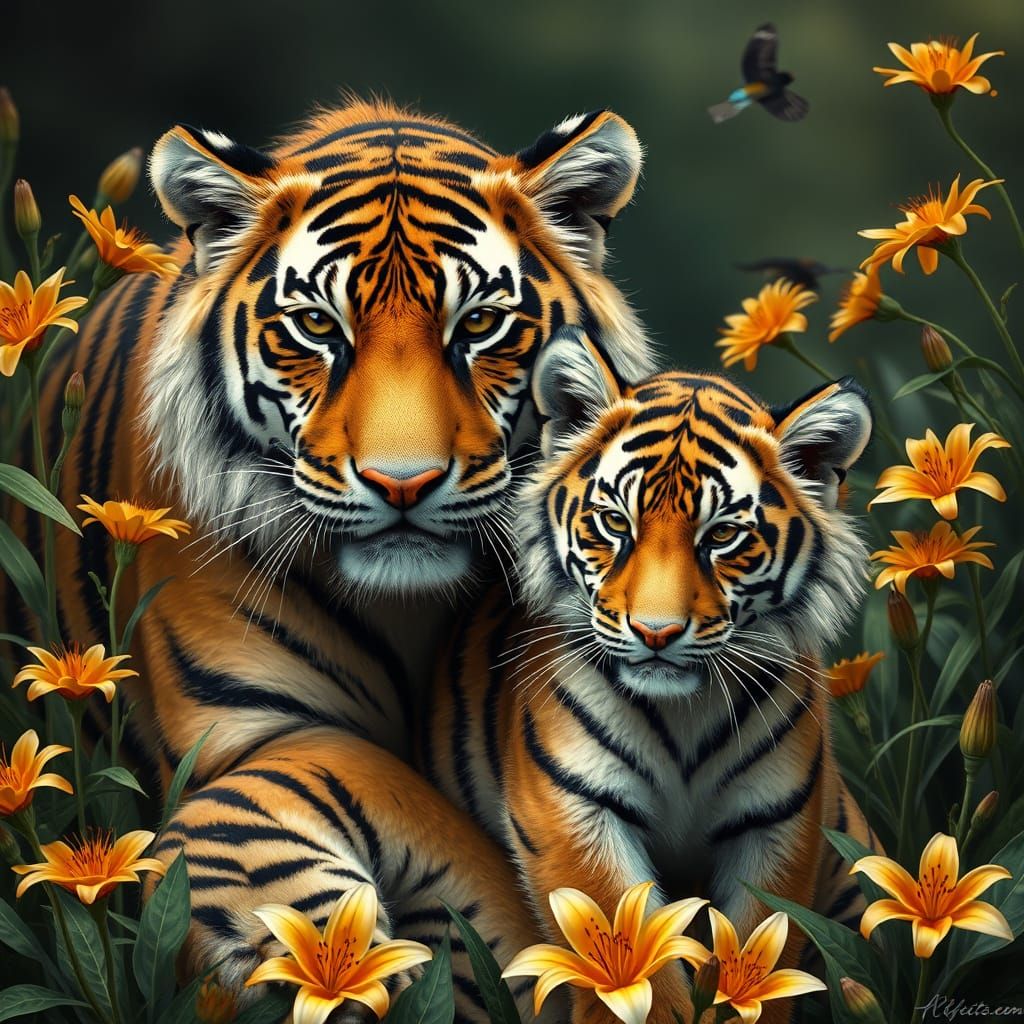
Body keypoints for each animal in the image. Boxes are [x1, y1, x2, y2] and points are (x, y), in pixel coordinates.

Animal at [423, 326, 879, 1024]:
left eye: (722, 536)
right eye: (616, 522)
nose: (657, 632)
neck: (682, 713)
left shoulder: (775, 825)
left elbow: (755, 960)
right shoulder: (573, 811)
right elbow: (633, 970)